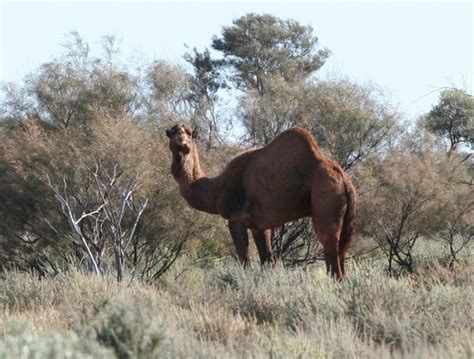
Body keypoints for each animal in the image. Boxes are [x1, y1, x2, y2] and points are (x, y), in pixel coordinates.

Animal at [167, 124, 356, 282]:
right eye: (173, 132)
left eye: (189, 133)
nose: (182, 143)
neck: (217, 188)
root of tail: (343, 178)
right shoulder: (259, 226)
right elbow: (267, 259)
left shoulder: (236, 219)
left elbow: (243, 257)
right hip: (347, 219)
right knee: (342, 254)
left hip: (325, 197)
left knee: (331, 251)